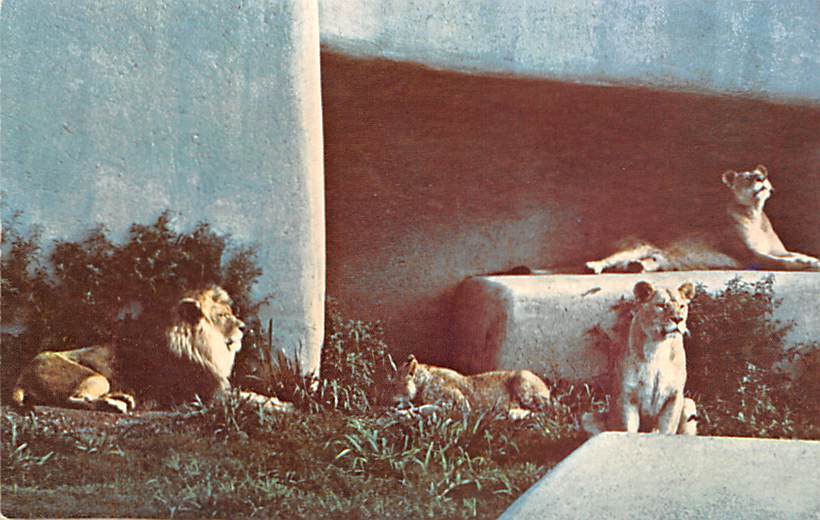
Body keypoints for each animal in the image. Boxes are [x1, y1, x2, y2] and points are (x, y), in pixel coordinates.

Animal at [11, 286, 293, 414]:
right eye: (223, 315)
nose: (244, 327)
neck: (205, 345)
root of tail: (21, 375)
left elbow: (254, 393)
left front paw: (281, 402)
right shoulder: (211, 396)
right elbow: (251, 397)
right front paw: (283, 406)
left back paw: (123, 398)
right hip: (96, 377)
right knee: (74, 400)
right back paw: (115, 405)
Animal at [383, 354, 551, 419]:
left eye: (394, 385)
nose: (384, 402)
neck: (421, 384)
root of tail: (547, 390)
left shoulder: (460, 405)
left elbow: (428, 408)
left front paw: (405, 412)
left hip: (523, 380)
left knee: (547, 412)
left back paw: (513, 413)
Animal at [582, 281, 696, 435]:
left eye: (682, 306)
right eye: (661, 305)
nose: (678, 319)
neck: (659, 347)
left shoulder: (674, 396)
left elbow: (667, 430)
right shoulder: (628, 396)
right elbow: (629, 429)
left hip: (689, 404)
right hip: (588, 417)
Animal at [586, 165, 820, 274]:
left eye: (760, 175)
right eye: (747, 177)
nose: (760, 178)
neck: (755, 215)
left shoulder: (777, 249)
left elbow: (794, 254)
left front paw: (812, 259)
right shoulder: (752, 256)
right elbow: (783, 262)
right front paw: (807, 264)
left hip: (657, 260)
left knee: (641, 263)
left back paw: (636, 267)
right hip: (637, 247)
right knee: (611, 259)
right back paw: (593, 266)